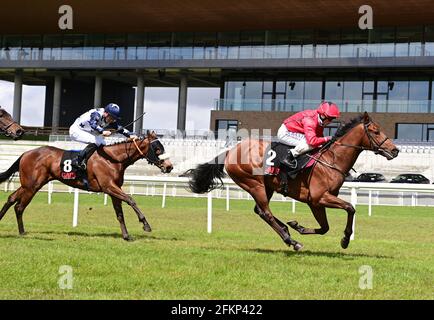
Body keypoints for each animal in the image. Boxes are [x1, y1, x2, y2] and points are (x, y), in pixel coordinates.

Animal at [0, 131, 173, 240]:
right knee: (19, 207)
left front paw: (126, 235)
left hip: (29, 184)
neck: (113, 159)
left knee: (11, 199)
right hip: (32, 185)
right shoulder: (109, 186)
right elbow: (131, 200)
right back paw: (22, 232)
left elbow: (119, 213)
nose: (170, 166)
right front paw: (146, 225)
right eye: (157, 149)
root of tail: (26, 153)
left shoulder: (113, 190)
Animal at [186, 114, 396, 251]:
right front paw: (345, 239)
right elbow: (350, 208)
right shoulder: (319, 197)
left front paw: (298, 226)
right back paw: (291, 241)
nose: (395, 150)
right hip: (253, 184)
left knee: (260, 211)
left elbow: (325, 228)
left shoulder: (315, 202)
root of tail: (231, 151)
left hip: (267, 186)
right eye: (376, 131)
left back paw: (288, 230)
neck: (332, 159)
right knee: (266, 212)